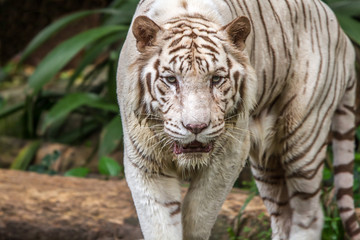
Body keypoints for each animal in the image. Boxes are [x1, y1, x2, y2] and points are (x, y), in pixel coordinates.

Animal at [116, 0, 358, 239]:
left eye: (216, 79)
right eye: (171, 79)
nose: (196, 127)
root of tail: (344, 35)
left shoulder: (229, 155)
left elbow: (198, 214)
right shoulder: (145, 164)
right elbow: (160, 225)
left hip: (303, 140)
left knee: (310, 215)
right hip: (267, 165)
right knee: (282, 215)